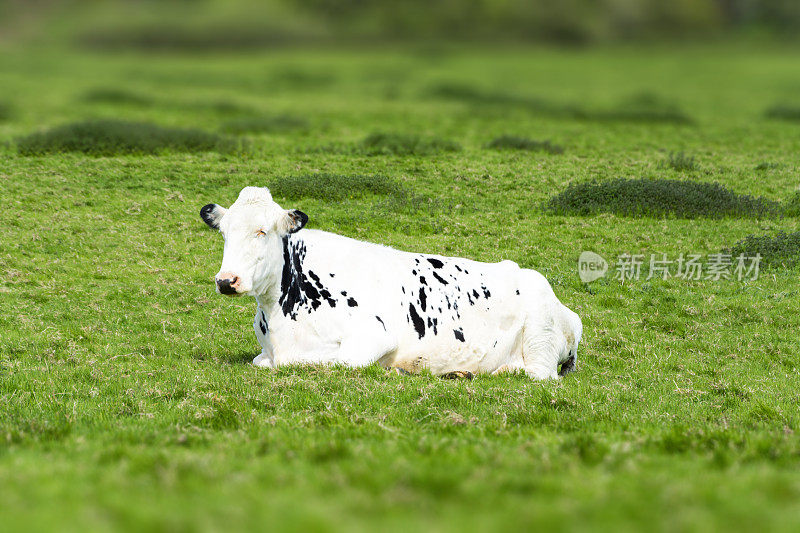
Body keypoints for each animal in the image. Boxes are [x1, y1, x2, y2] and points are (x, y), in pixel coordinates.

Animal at [200, 187, 580, 378]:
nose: (226, 280)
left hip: (540, 345)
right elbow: (263, 362)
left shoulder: (373, 336)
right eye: (224, 232)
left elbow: (315, 362)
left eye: (262, 231)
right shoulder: (267, 350)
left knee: (537, 374)